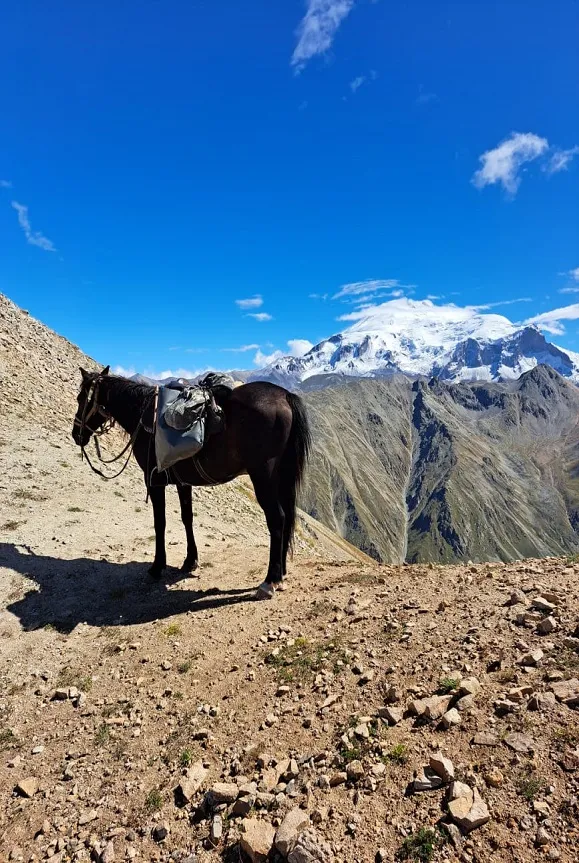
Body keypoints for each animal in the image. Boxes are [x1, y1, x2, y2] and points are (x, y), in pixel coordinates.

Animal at [72, 366, 310, 600]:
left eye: (81, 398)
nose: (76, 435)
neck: (144, 416)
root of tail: (285, 396)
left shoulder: (154, 481)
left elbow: (160, 523)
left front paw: (157, 566)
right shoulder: (182, 483)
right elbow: (187, 518)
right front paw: (190, 561)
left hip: (263, 476)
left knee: (277, 519)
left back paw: (270, 581)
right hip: (281, 476)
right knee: (288, 518)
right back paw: (282, 573)